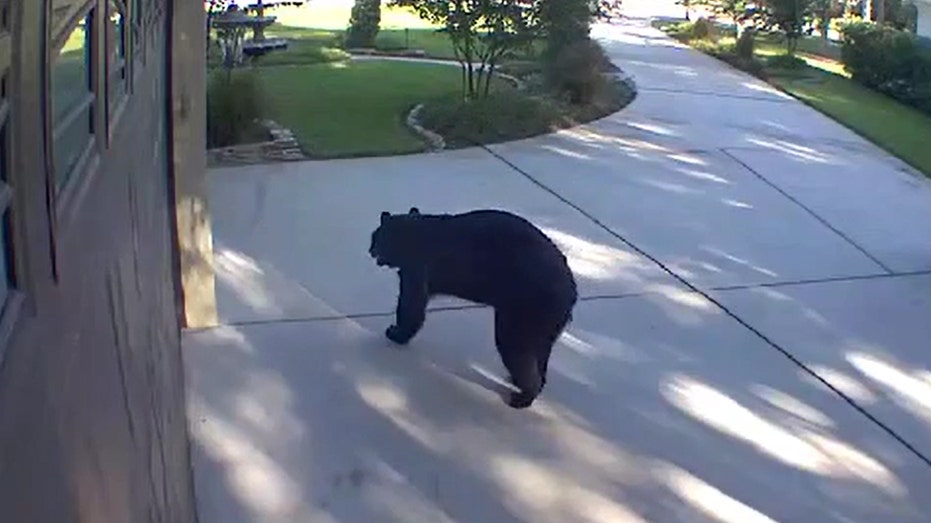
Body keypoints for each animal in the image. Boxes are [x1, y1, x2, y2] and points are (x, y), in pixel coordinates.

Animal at [369, 207, 578, 409]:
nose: (370, 250)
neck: (411, 233)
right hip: (543, 324)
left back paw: (521, 398)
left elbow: (411, 304)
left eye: (375, 237)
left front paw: (396, 333)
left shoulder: (417, 268)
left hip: (526, 311)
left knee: (516, 349)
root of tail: (571, 291)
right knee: (539, 355)